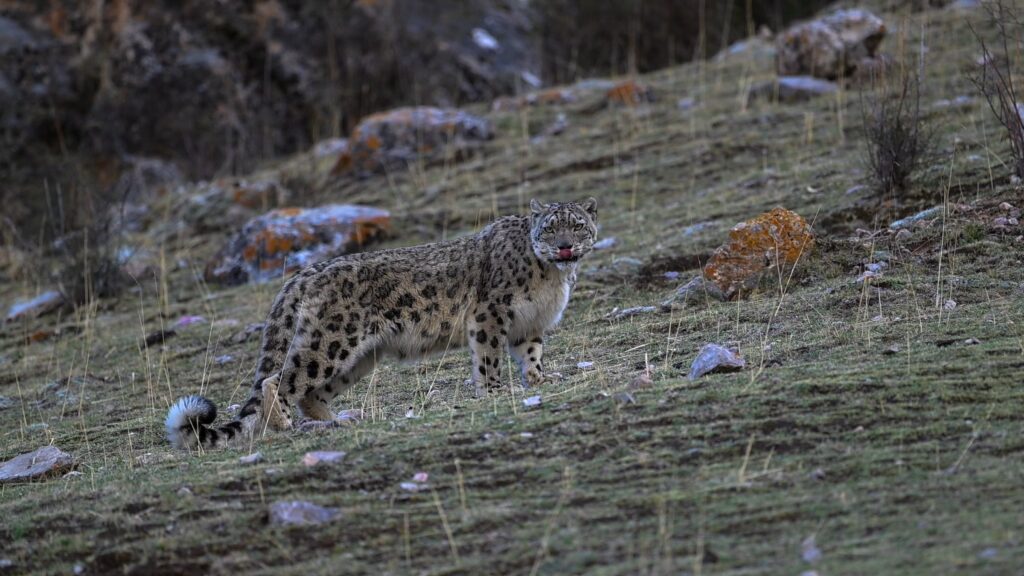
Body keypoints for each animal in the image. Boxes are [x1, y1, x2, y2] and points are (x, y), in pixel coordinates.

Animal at [166, 197, 598, 450]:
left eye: (577, 225)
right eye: (551, 227)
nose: (565, 246)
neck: (552, 278)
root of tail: (304, 273)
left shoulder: (530, 324)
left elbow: (531, 354)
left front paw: (541, 379)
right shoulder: (490, 315)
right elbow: (489, 357)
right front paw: (495, 390)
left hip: (358, 357)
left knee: (311, 393)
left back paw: (337, 421)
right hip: (329, 342)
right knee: (280, 380)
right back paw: (287, 425)